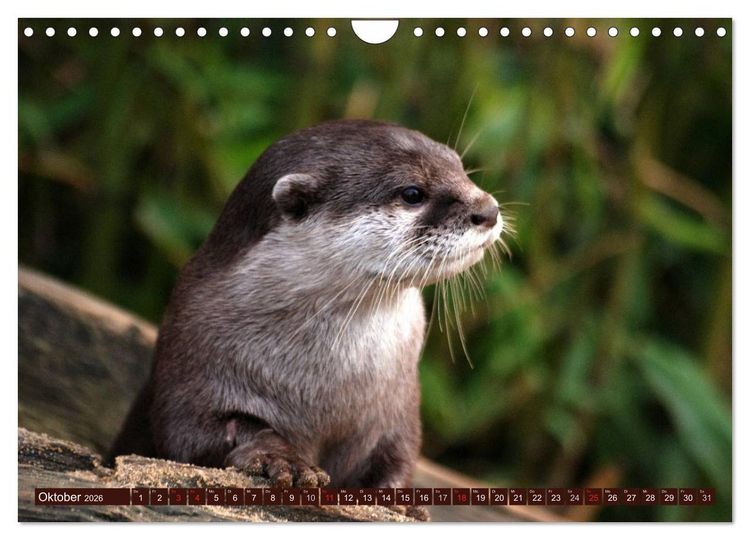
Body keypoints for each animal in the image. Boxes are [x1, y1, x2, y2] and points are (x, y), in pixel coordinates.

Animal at [111, 119, 503, 501]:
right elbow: (195, 432)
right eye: (412, 193)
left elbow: (399, 455)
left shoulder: (398, 409)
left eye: (460, 168)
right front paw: (281, 458)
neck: (325, 389)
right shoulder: (190, 360)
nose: (488, 210)